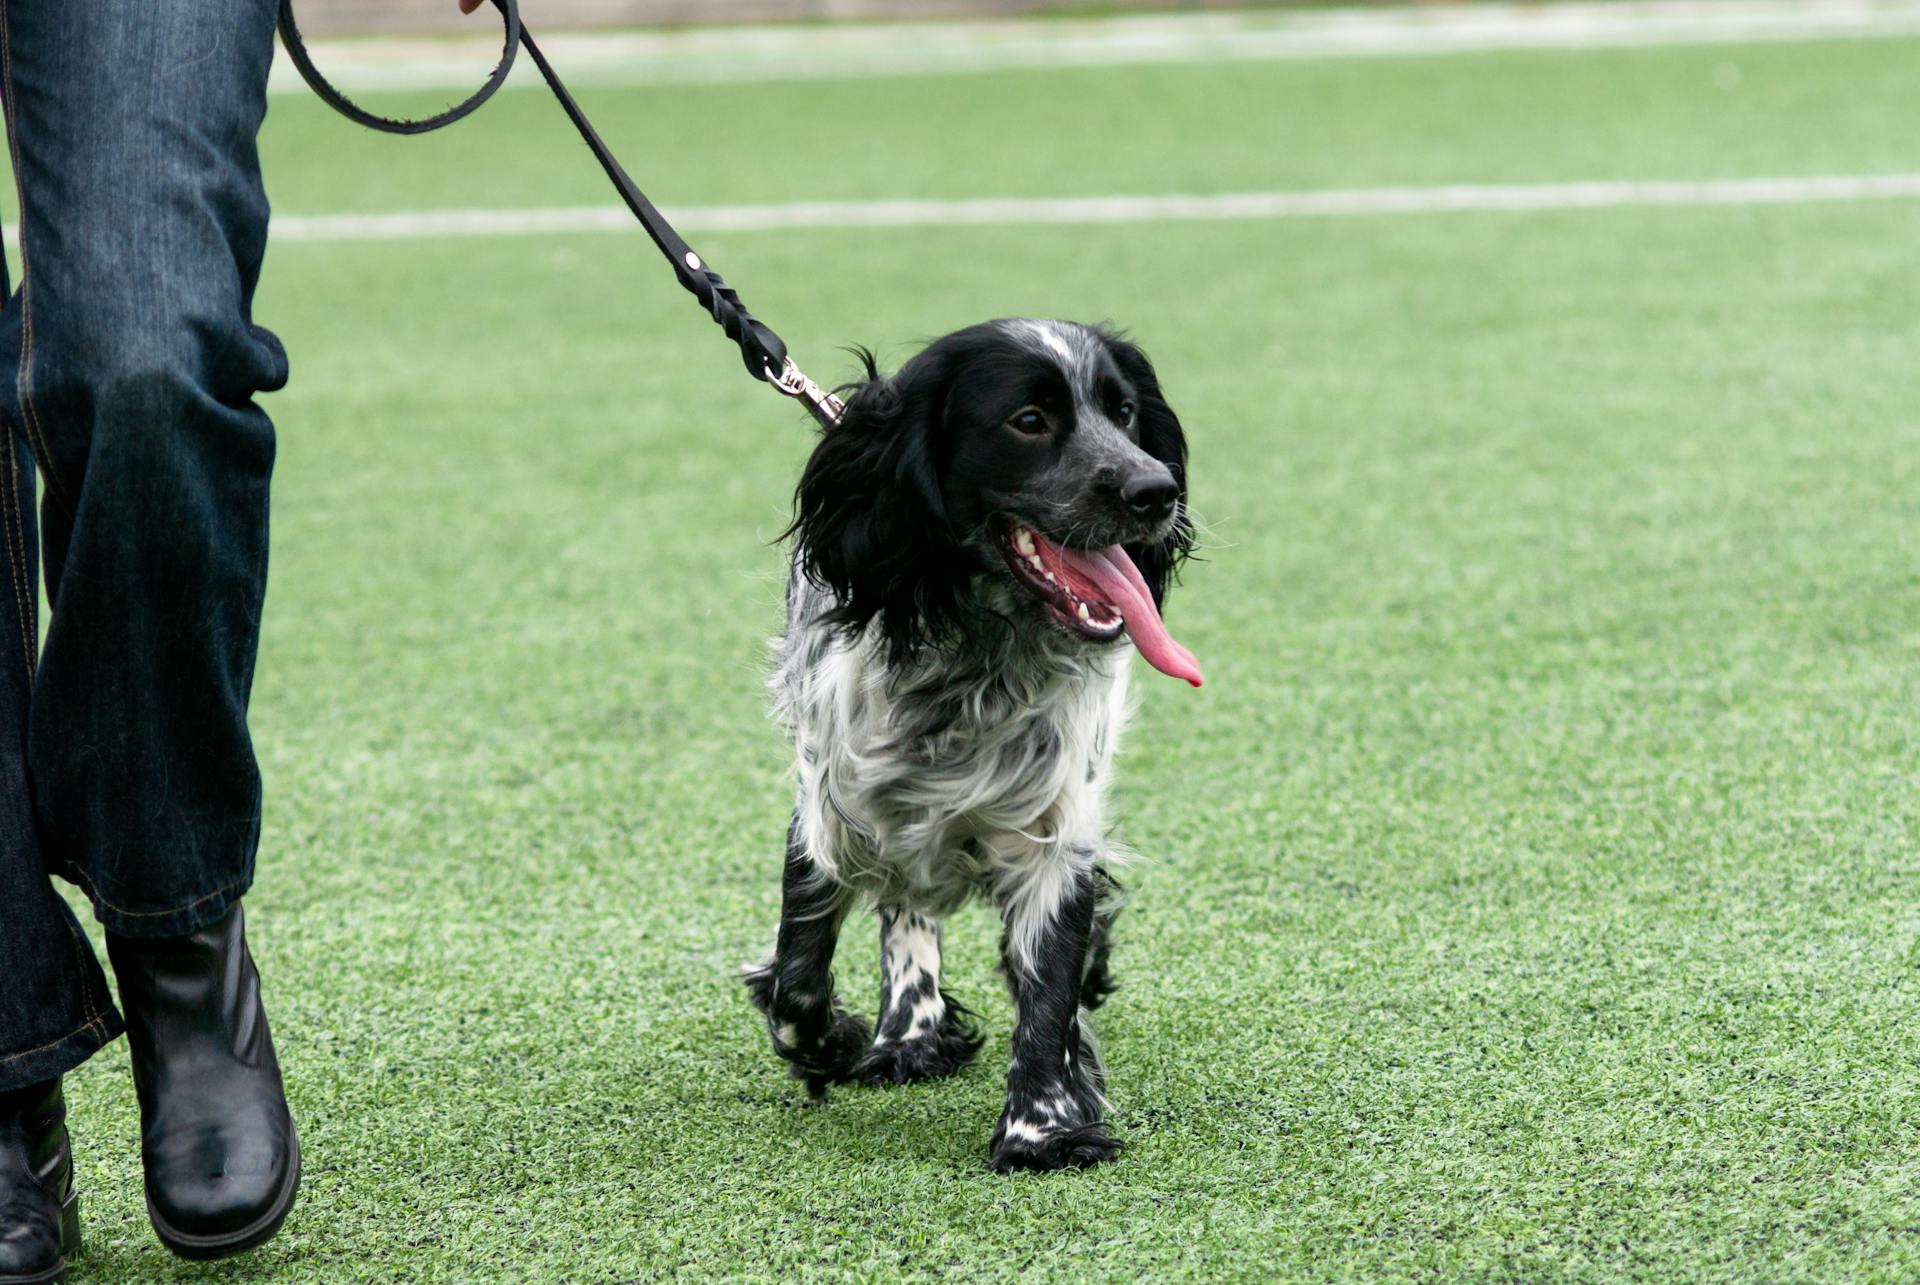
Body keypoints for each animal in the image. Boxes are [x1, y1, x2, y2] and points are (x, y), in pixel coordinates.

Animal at [744, 315, 1198, 1167]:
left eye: (1124, 411)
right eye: (1028, 420)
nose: (1157, 490)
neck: (973, 660)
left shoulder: (1058, 830)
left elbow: (1047, 993)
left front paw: (1039, 1129)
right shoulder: (828, 807)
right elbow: (796, 978)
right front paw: (835, 1042)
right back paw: (908, 1031)